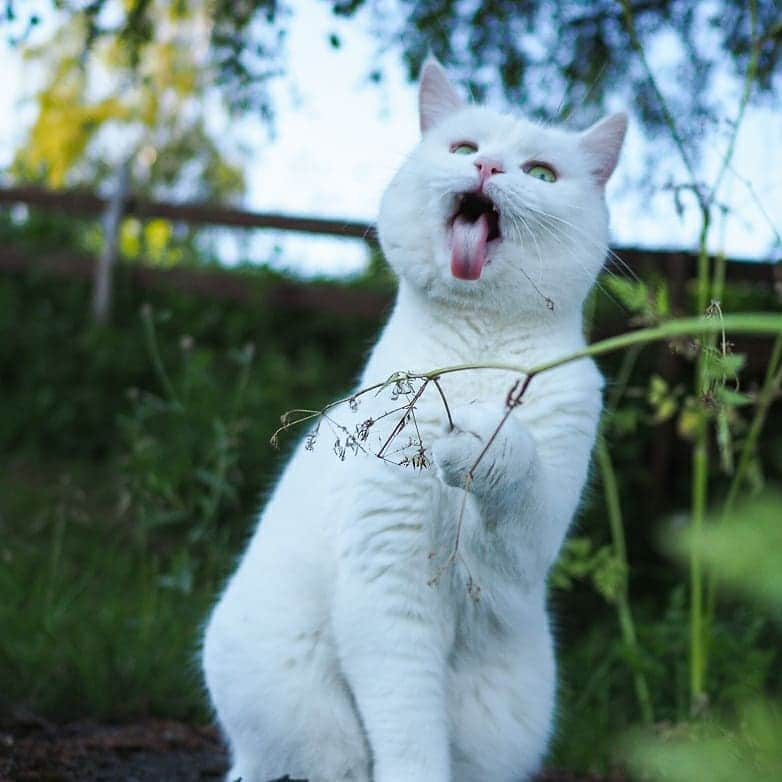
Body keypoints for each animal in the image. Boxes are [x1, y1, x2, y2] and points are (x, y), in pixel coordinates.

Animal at [204, 56, 632, 782]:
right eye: (463, 148)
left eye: (542, 173)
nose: (486, 167)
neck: (479, 352)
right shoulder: (386, 579)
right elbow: (409, 733)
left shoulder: (518, 560)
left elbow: (515, 481)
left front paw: (483, 439)